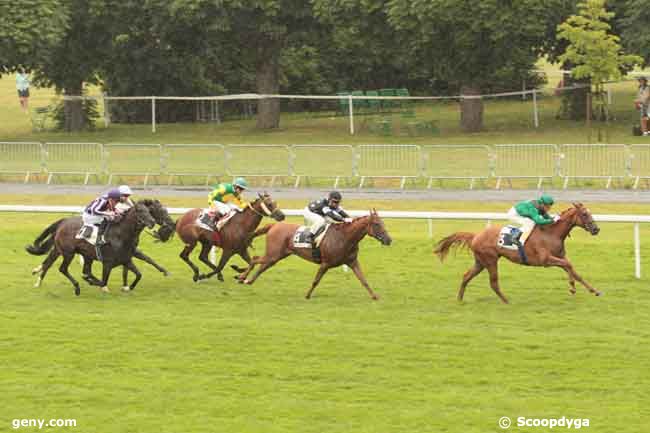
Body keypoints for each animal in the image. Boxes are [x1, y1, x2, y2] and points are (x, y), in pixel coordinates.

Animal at [237, 210, 392, 300]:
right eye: (376, 224)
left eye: (383, 223)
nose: (389, 240)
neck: (344, 238)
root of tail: (274, 225)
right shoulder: (326, 263)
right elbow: (316, 280)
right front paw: (307, 295)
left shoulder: (352, 262)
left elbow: (363, 280)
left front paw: (374, 296)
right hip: (273, 254)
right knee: (255, 259)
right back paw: (242, 277)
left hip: (277, 256)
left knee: (261, 265)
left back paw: (249, 280)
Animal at [432, 202, 600, 304]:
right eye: (584, 214)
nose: (596, 229)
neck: (551, 233)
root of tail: (476, 235)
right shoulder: (545, 260)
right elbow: (568, 265)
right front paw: (573, 288)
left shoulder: (559, 256)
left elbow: (572, 269)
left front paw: (593, 290)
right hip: (490, 260)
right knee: (493, 283)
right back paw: (506, 301)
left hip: (480, 262)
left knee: (466, 276)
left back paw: (460, 299)